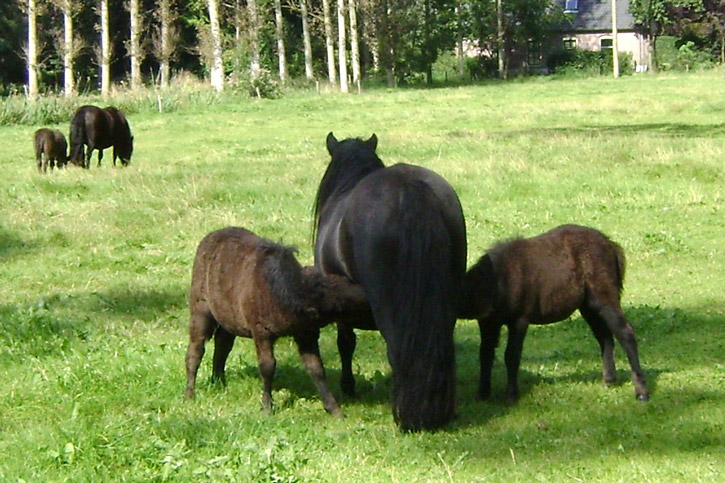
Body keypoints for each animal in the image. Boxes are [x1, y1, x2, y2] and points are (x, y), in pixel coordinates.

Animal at [184, 229, 370, 418]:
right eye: (345, 304)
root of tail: (212, 235)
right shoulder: (262, 332)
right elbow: (267, 367)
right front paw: (267, 406)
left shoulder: (306, 334)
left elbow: (316, 369)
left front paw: (334, 409)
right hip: (200, 310)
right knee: (196, 349)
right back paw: (190, 394)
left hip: (228, 319)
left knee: (222, 345)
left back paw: (218, 382)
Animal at [460, 226, 648, 404]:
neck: (499, 281)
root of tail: (611, 245)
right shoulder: (488, 322)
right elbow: (485, 353)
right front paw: (482, 394)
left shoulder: (520, 320)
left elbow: (511, 355)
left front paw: (511, 396)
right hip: (588, 306)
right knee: (605, 337)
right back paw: (609, 380)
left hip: (605, 297)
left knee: (625, 333)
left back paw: (641, 391)